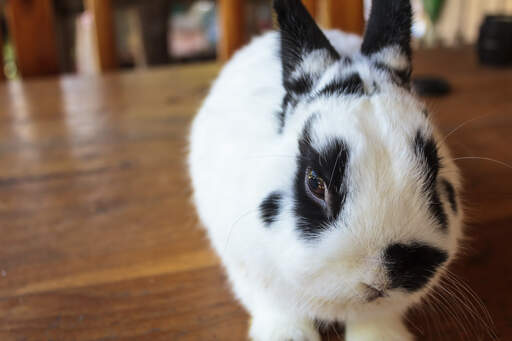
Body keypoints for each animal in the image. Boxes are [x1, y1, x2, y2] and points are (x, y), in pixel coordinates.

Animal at [188, 0, 464, 340]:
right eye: (315, 183)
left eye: (433, 170)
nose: (383, 278)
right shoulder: (249, 270)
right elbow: (278, 307)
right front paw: (288, 335)